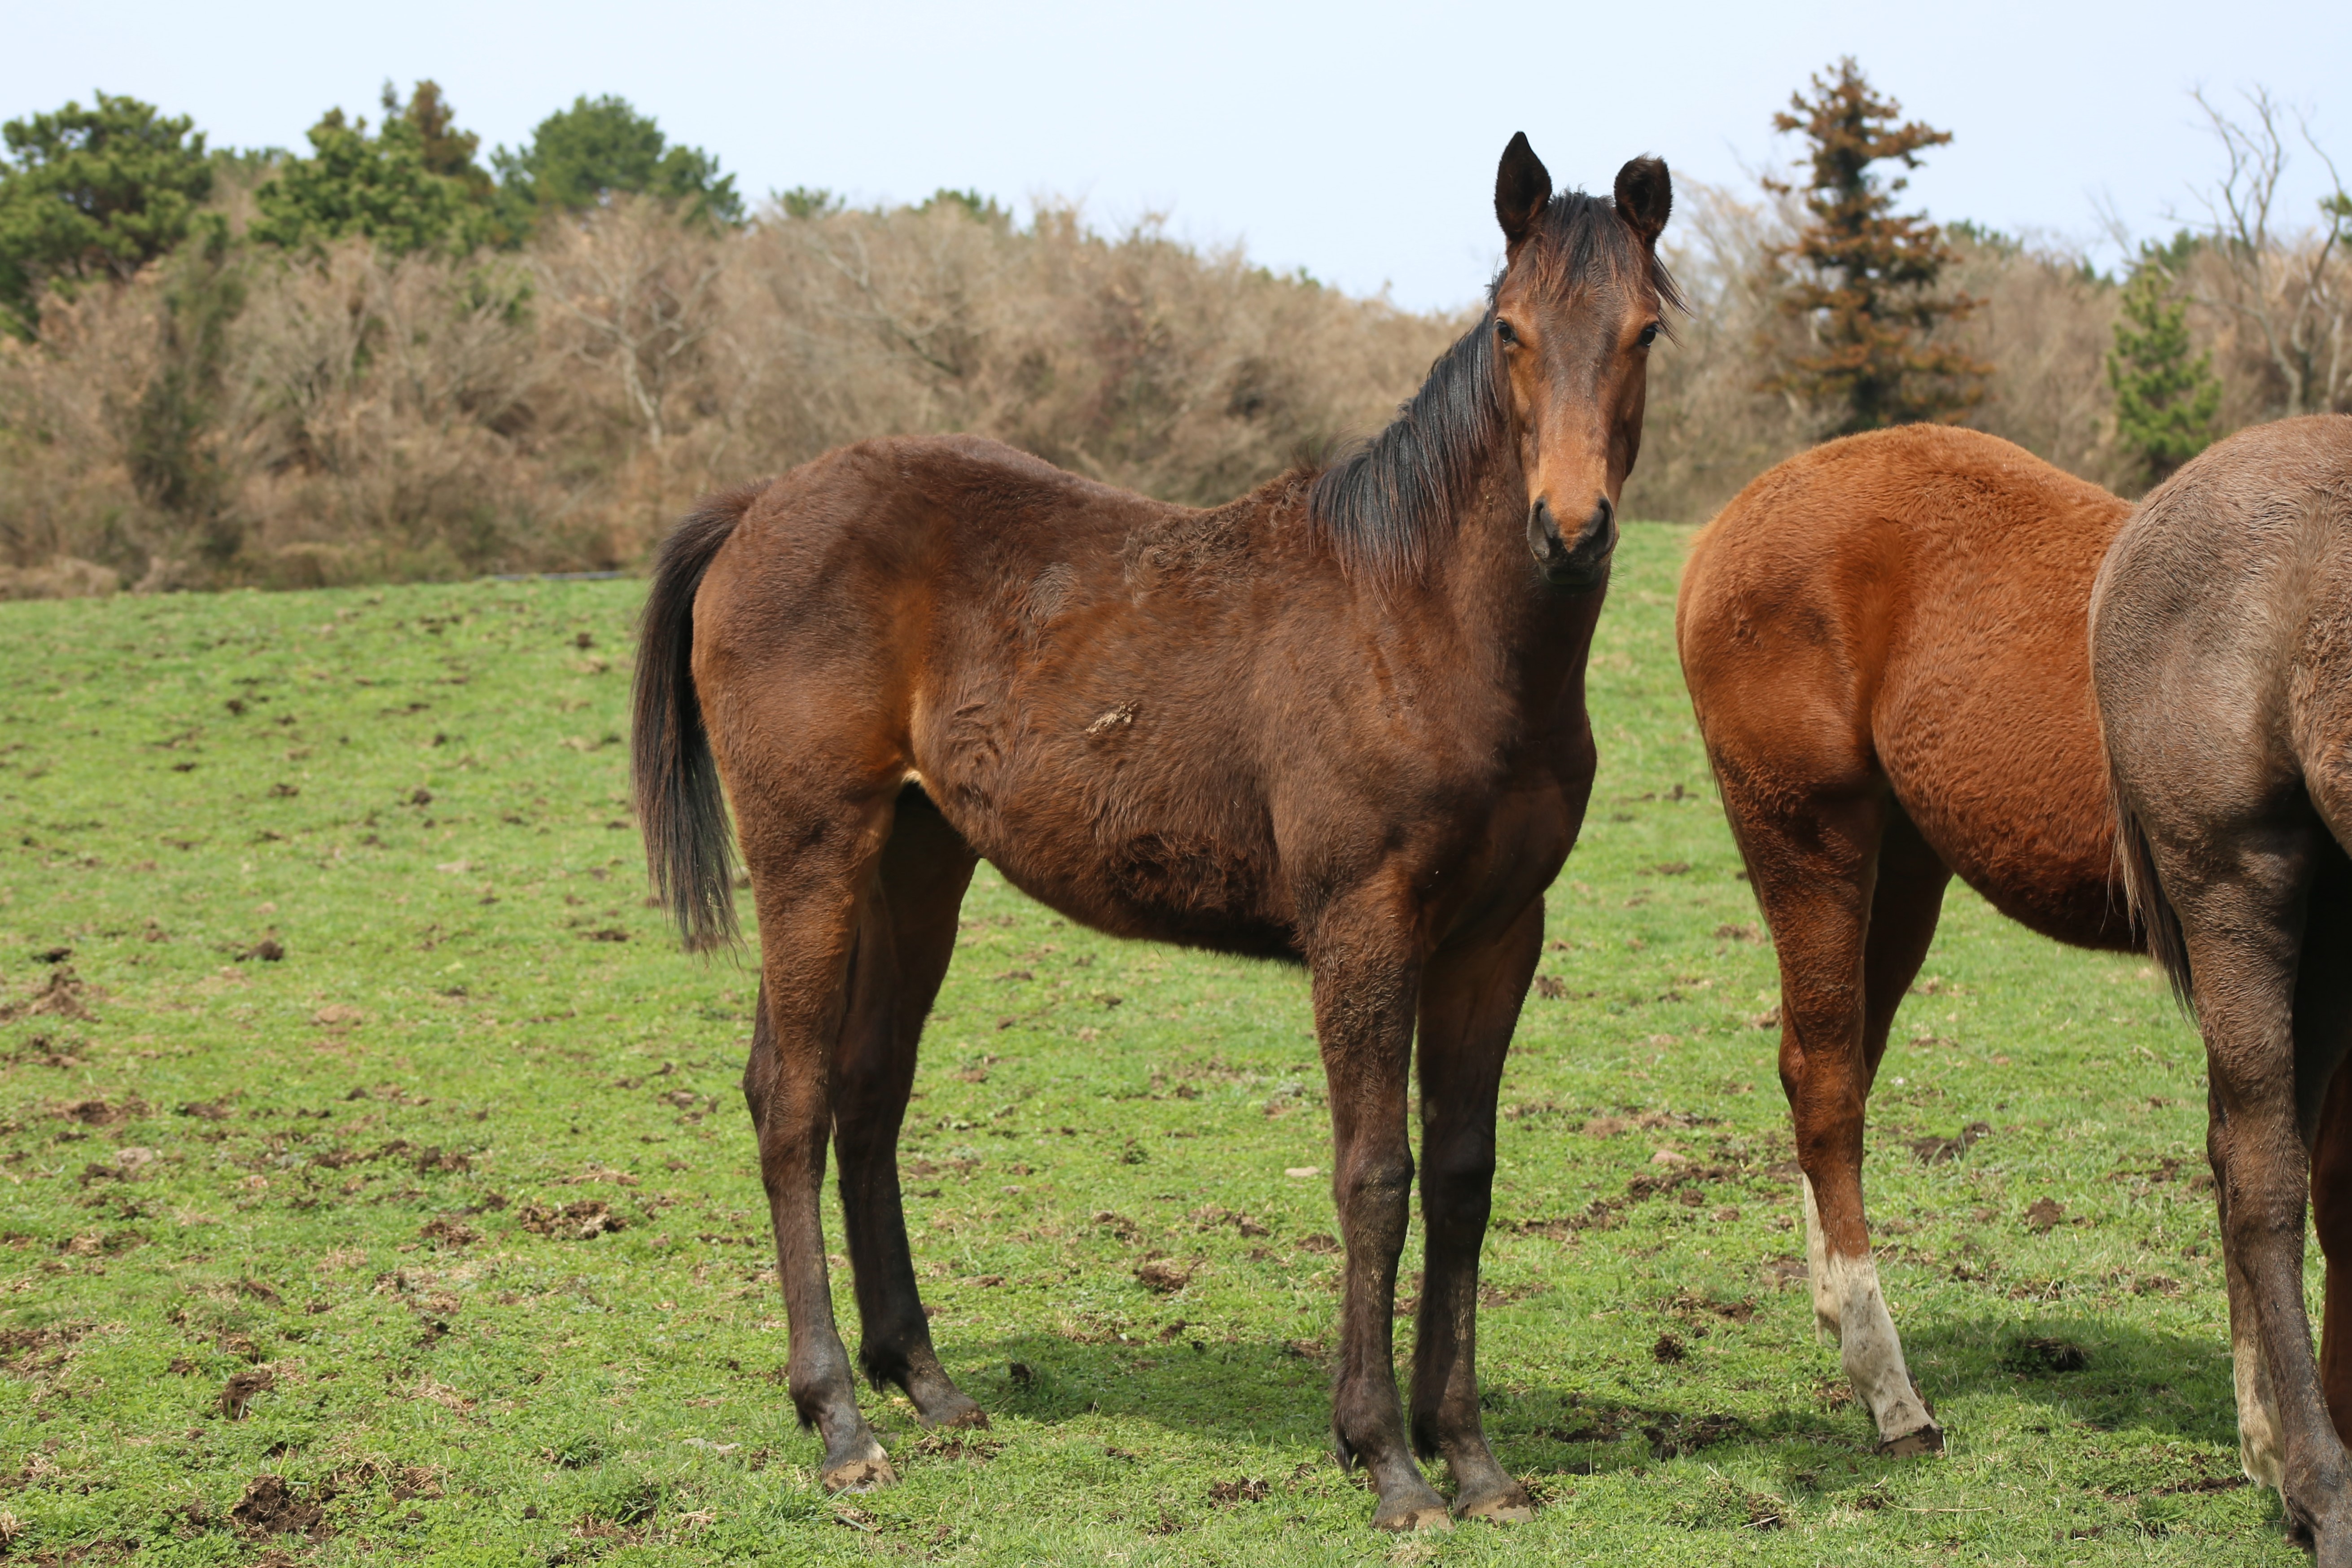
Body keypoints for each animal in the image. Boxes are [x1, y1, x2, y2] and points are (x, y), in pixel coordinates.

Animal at [635, 135, 1684, 1533]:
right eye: (1509, 331)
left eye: (1641, 332)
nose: (1568, 531)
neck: (1421, 622)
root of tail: (759, 503)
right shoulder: (1365, 925)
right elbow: (1375, 1174)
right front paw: (1385, 1460)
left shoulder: (1498, 935)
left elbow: (1463, 1175)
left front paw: (1470, 1457)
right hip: (810, 854)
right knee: (792, 1099)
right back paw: (841, 1422)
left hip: (917, 865)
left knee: (867, 1092)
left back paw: (926, 1381)